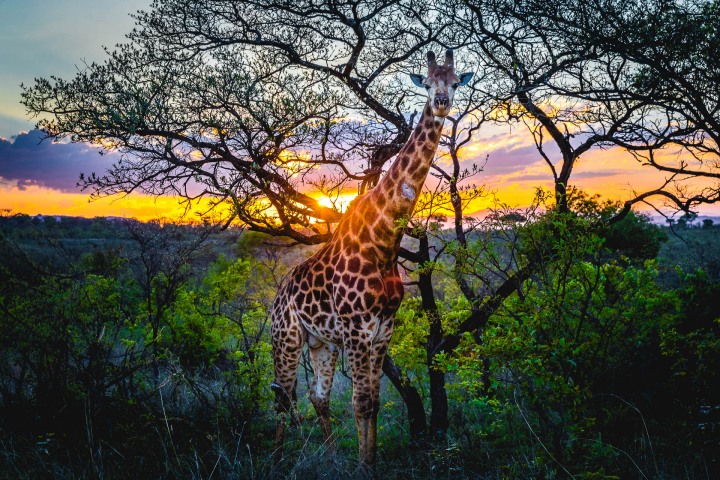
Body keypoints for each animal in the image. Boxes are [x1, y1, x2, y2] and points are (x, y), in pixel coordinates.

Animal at [270, 49, 473, 472]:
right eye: (427, 83)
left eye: (455, 82)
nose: (440, 103)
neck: (383, 244)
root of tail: (278, 296)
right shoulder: (357, 329)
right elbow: (361, 403)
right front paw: (365, 466)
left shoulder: (382, 330)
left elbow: (374, 403)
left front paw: (371, 461)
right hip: (287, 338)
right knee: (283, 396)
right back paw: (278, 461)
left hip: (321, 343)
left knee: (317, 397)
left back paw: (331, 458)